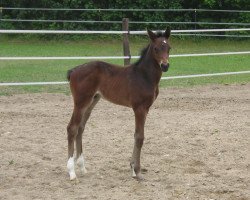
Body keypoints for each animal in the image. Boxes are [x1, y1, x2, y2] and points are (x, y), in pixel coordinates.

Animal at [66, 27, 171, 180]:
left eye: (169, 47)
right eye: (156, 48)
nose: (165, 65)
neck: (144, 75)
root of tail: (74, 70)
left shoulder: (146, 109)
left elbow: (136, 135)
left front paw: (132, 168)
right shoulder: (139, 108)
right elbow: (140, 137)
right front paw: (137, 171)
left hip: (92, 101)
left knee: (80, 128)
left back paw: (82, 167)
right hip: (80, 102)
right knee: (72, 128)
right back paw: (72, 172)